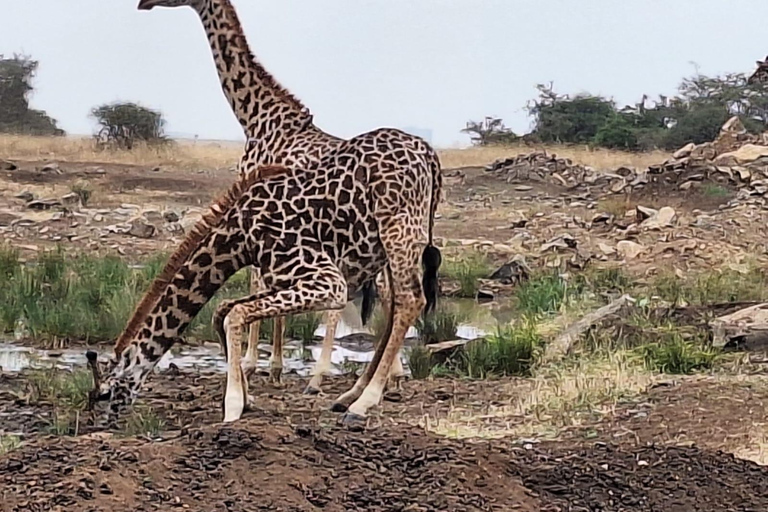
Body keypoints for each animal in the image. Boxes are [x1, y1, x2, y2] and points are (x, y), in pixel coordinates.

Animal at [88, 126, 444, 426]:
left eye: (105, 393)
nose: (102, 425)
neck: (238, 236)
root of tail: (428, 153)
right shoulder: (284, 280)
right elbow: (224, 310)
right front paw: (248, 399)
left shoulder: (326, 280)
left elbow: (234, 314)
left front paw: (232, 408)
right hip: (389, 244)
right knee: (396, 304)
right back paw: (350, 395)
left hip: (397, 230)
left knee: (411, 300)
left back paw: (361, 404)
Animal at [136, 0, 408, 390]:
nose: (143, 3)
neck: (258, 118)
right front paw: (273, 366)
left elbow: (258, 280)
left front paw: (255, 364)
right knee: (387, 291)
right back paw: (392, 375)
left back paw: (320, 375)